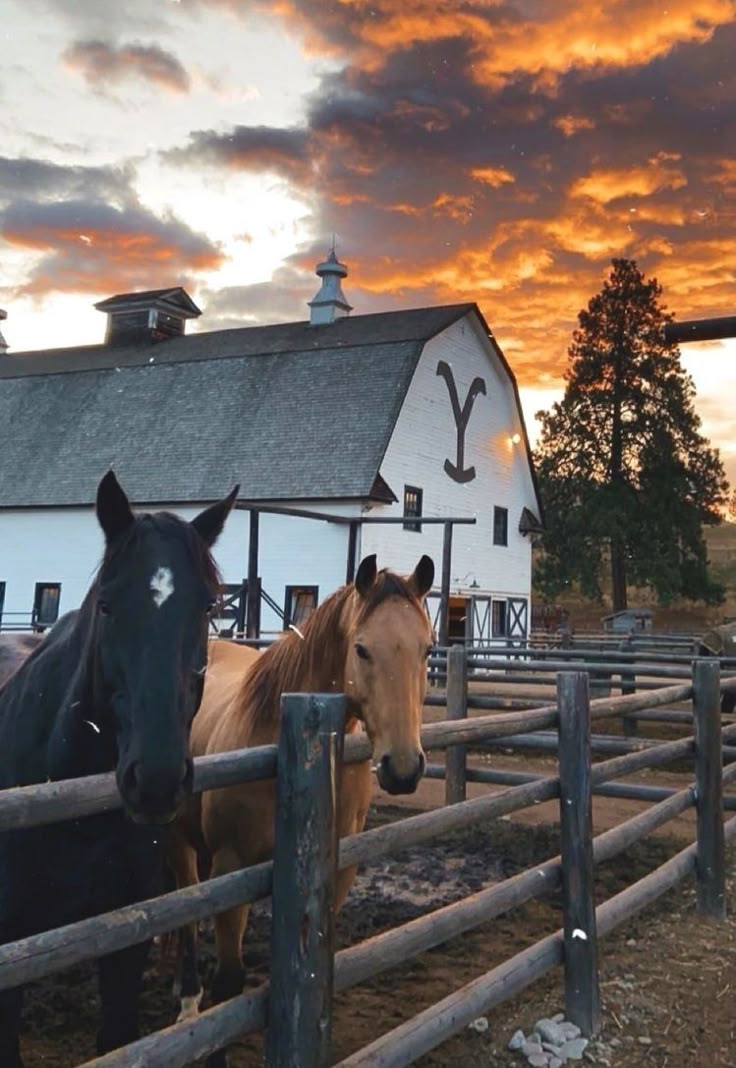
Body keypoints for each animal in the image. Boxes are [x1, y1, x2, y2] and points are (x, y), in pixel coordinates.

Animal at [168, 555, 433, 1063]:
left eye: (428, 649)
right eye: (362, 650)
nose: (404, 768)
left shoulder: (339, 871)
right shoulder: (233, 863)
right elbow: (229, 981)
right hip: (180, 844)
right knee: (185, 914)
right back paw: (188, 1002)